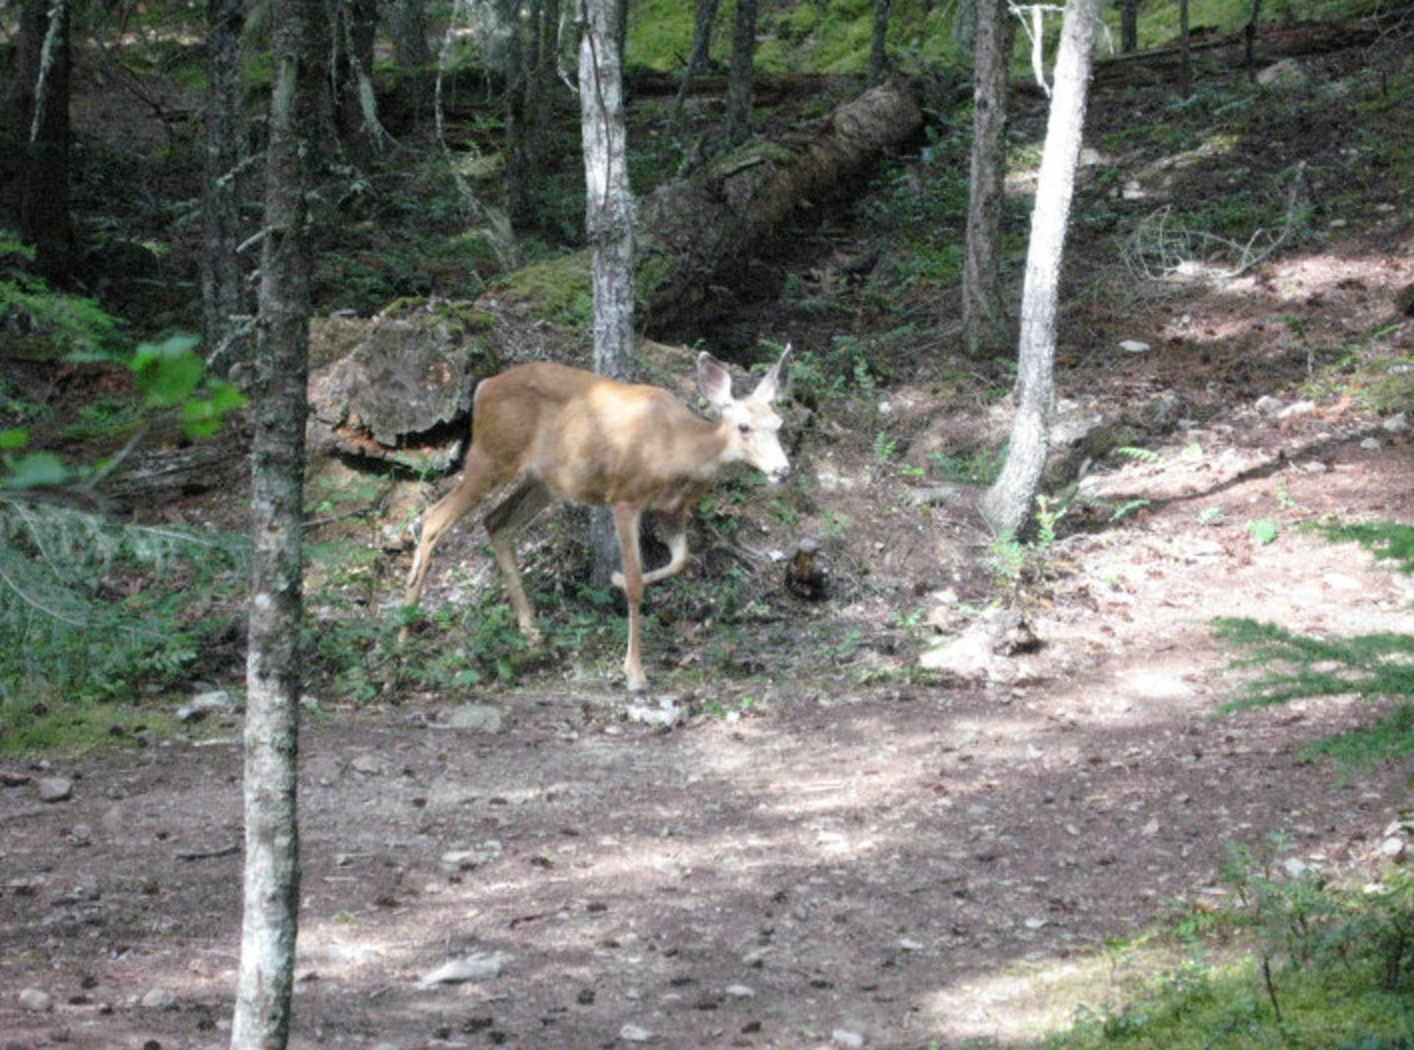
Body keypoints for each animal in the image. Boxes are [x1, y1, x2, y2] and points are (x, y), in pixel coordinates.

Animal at [404, 347, 791, 689]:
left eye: (779, 424)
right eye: (743, 427)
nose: (783, 470)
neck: (678, 451)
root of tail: (483, 388)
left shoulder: (672, 511)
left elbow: (681, 560)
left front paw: (616, 580)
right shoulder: (625, 497)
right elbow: (636, 583)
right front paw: (634, 672)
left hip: (544, 480)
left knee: (496, 521)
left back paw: (531, 632)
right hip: (491, 456)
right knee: (434, 517)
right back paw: (404, 631)